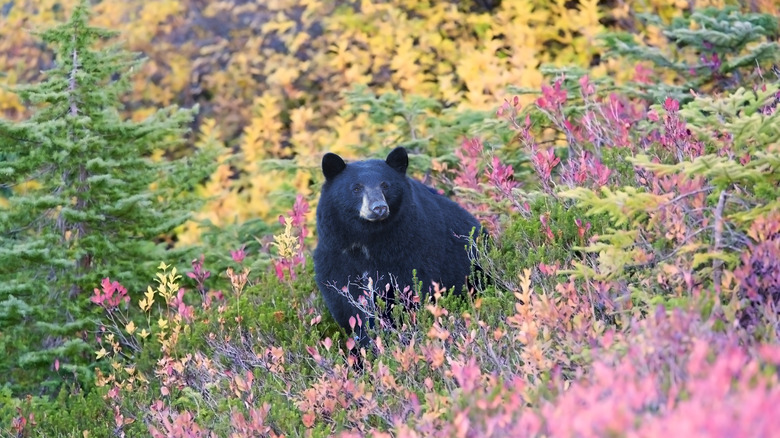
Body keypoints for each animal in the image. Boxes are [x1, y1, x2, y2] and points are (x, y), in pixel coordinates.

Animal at [312, 147, 482, 346]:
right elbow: (346, 305)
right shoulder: (336, 256)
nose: (378, 208)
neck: (368, 241)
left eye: (385, 185)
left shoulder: (411, 252)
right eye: (356, 188)